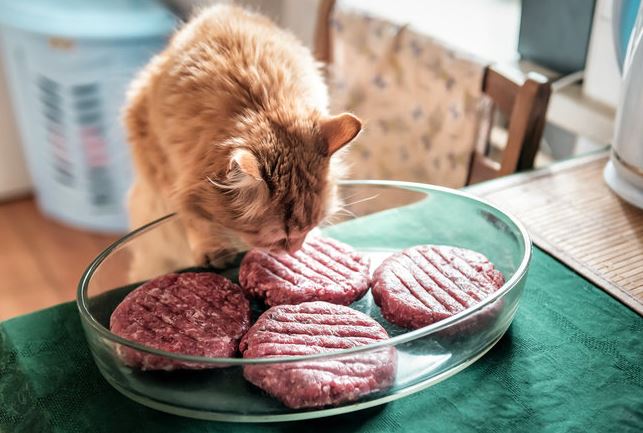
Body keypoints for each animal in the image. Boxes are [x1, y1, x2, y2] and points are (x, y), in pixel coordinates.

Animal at [123, 4, 360, 280]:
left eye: (311, 226)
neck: (257, 102)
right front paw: (212, 249)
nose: (295, 251)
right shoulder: (157, 157)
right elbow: (191, 216)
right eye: (281, 237)